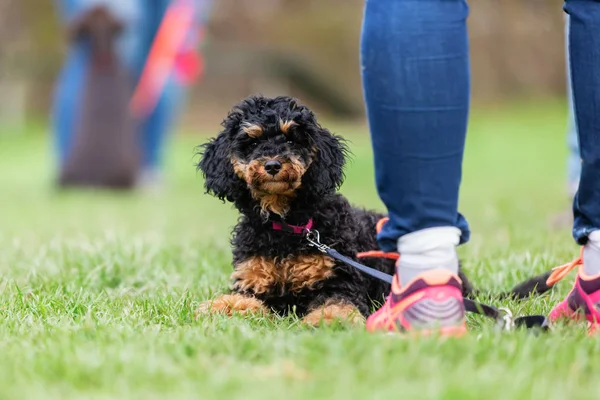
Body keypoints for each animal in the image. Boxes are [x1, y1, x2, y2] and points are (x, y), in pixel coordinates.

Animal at [196, 95, 552, 326]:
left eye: (294, 140)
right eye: (252, 142)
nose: (272, 164)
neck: (287, 227)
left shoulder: (341, 279)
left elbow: (337, 302)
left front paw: (330, 319)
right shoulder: (253, 282)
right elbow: (241, 298)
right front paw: (219, 307)